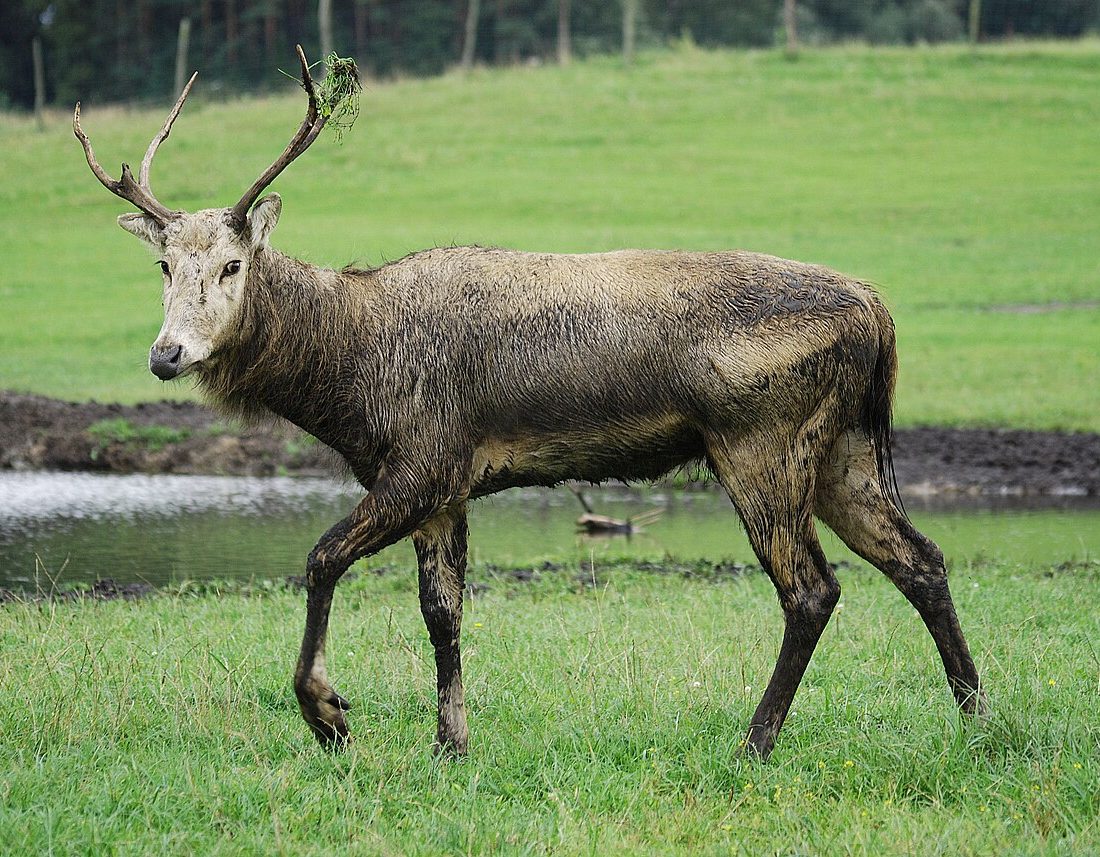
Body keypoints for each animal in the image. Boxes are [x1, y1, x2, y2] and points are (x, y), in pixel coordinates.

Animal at [74, 47, 984, 760]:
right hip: (843, 448)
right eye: (164, 265)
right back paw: (977, 716)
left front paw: (329, 714)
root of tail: (878, 314)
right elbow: (442, 612)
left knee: (812, 589)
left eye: (232, 265)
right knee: (921, 557)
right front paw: (450, 742)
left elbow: (322, 556)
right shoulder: (445, 489)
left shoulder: (423, 456)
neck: (350, 382)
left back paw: (755, 741)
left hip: (762, 440)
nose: (166, 354)